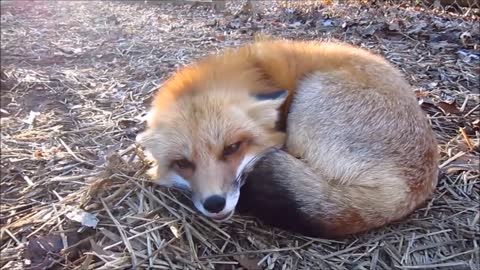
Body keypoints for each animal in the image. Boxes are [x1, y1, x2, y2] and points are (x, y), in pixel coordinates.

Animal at [135, 37, 438, 238]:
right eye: (183, 163)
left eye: (232, 148)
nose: (214, 204)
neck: (258, 73)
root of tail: (411, 188)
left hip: (310, 96)